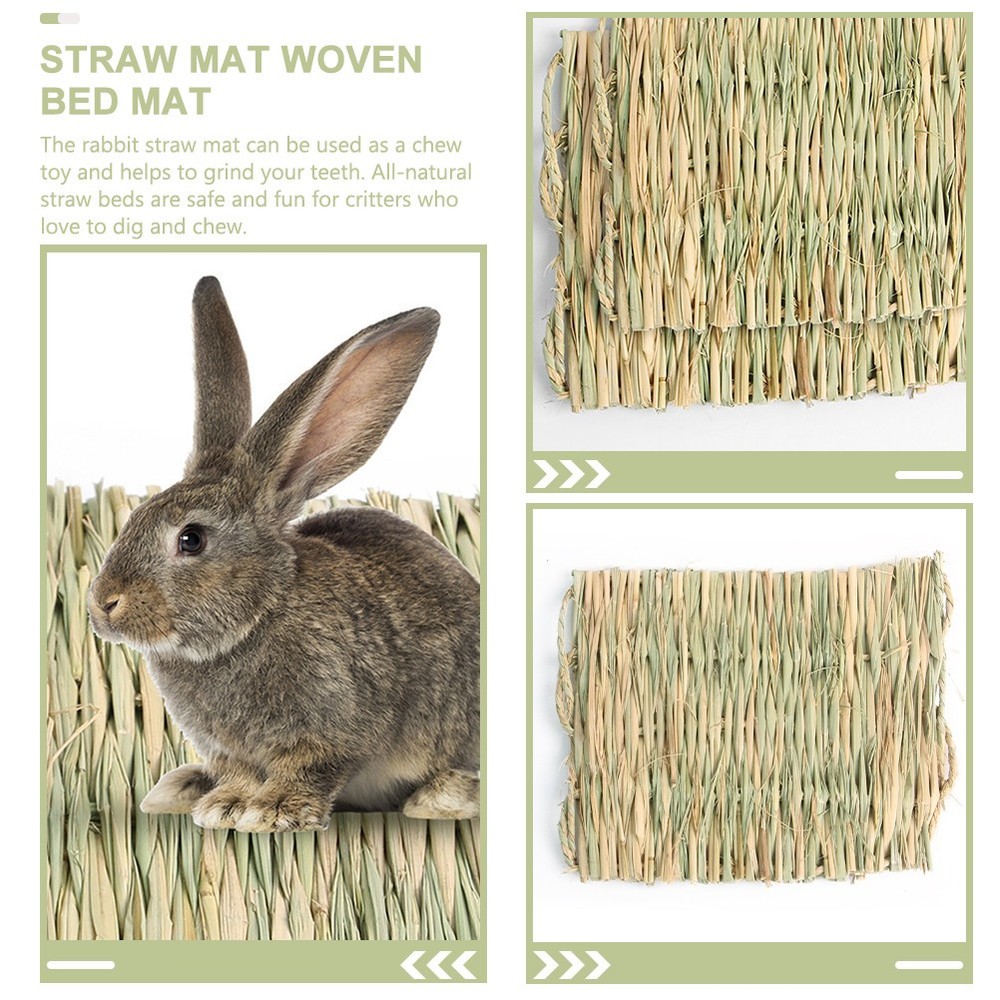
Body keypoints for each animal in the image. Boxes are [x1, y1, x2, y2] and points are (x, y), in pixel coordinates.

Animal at [87, 276, 480, 832]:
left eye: (191, 539)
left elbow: (311, 769)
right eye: (135, 514)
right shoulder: (229, 751)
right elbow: (237, 774)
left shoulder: (333, 728)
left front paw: (271, 812)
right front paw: (225, 805)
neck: (257, 617)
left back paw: (441, 799)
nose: (103, 604)